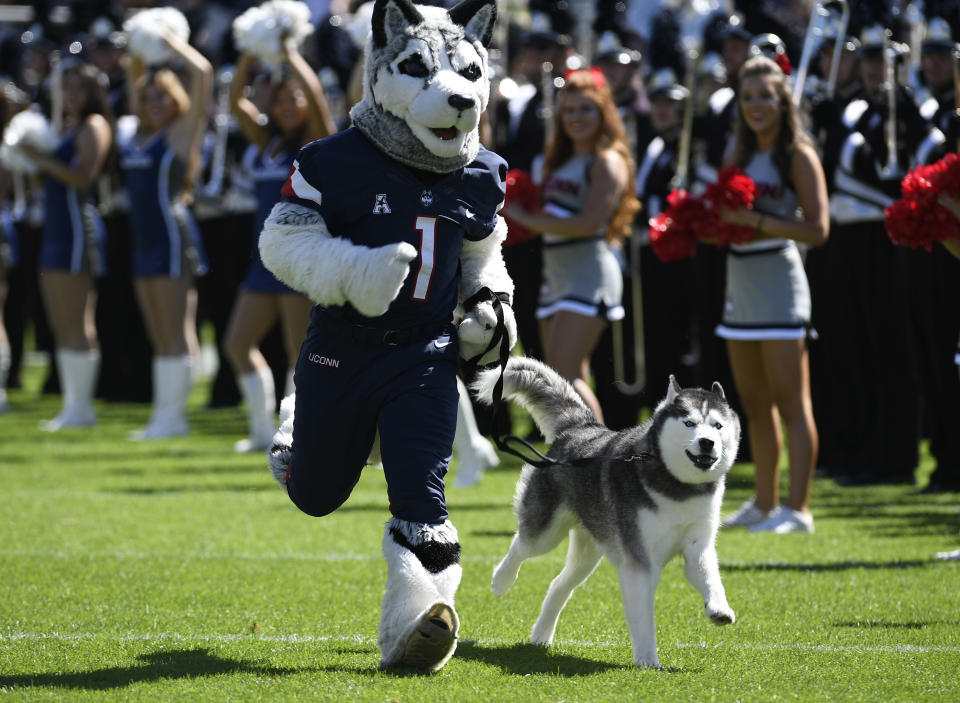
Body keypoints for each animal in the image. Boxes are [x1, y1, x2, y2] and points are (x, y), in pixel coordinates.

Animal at [474, 358, 744, 672]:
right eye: (689, 423)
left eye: (717, 425)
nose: (707, 442)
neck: (678, 486)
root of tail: (579, 427)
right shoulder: (639, 562)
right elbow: (643, 619)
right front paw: (648, 660)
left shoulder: (698, 545)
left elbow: (710, 577)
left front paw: (719, 609)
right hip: (546, 533)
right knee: (521, 545)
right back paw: (501, 580)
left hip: (589, 551)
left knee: (558, 584)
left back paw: (541, 635)